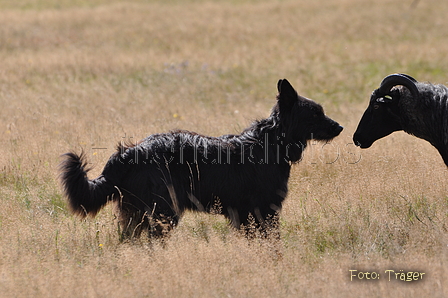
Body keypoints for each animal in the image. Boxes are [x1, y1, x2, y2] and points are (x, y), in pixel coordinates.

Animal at [57, 78, 342, 237]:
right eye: (315, 113)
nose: (340, 127)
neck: (270, 142)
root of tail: (128, 153)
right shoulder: (263, 210)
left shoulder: (247, 215)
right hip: (163, 212)